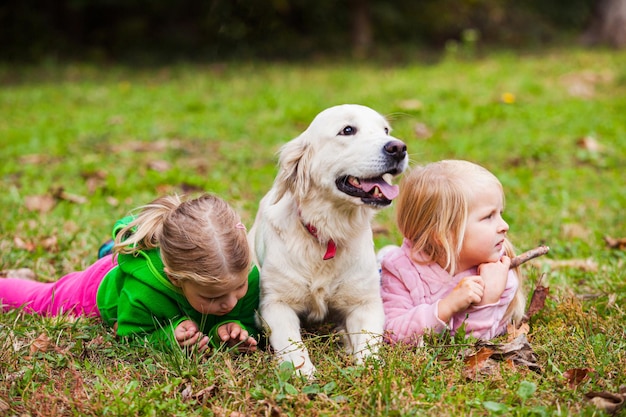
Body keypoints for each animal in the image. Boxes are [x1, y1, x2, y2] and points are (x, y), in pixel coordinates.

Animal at [246, 105, 408, 376]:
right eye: (348, 130)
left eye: (386, 130)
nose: (398, 147)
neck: (328, 232)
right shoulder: (274, 303)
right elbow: (291, 342)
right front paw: (303, 371)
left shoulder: (366, 302)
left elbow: (369, 342)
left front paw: (368, 367)